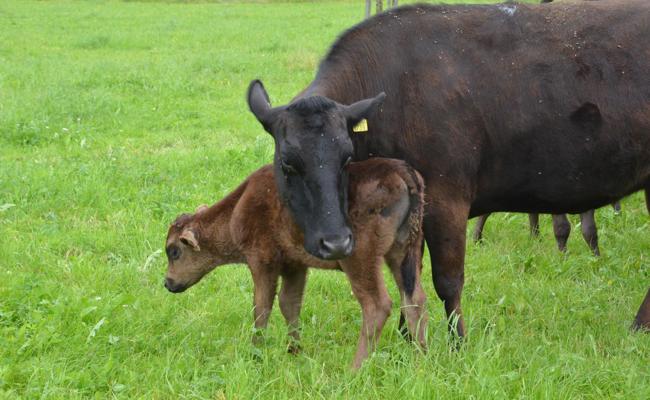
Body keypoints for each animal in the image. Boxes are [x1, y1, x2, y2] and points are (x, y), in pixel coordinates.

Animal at [164, 158, 428, 368]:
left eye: (174, 251)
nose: (168, 282)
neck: (237, 208)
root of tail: (401, 172)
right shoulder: (295, 265)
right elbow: (289, 304)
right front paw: (294, 351)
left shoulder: (262, 262)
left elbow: (261, 308)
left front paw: (255, 354)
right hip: (404, 253)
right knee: (414, 299)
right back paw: (419, 360)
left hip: (361, 259)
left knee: (377, 305)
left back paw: (355, 369)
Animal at [246, 0, 650, 338]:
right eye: (287, 163)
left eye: (347, 157)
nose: (335, 243)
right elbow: (409, 277)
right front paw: (408, 339)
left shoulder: (446, 198)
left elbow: (447, 280)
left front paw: (458, 344)